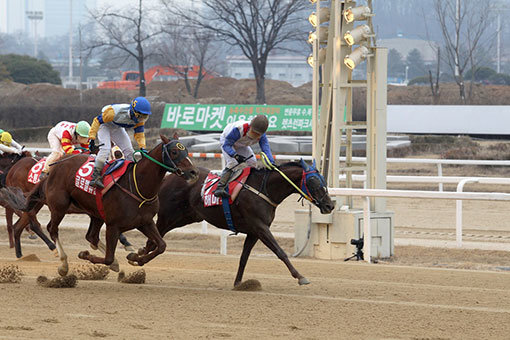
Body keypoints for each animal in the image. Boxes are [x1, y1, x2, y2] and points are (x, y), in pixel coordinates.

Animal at [3, 134, 199, 274]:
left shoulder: (145, 221)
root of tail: (53, 169)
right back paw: (63, 263)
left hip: (94, 213)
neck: (138, 185)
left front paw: (135, 256)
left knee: (90, 236)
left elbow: (162, 245)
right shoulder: (113, 225)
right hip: (59, 206)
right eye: (174, 152)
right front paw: (88, 255)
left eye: (186, 151)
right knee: (52, 228)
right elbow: (108, 258)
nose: (193, 172)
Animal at [141, 159, 336, 286]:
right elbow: (280, 252)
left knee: (153, 241)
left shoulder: (254, 231)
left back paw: (138, 257)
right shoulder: (260, 227)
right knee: (154, 240)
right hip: (167, 216)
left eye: (323, 180)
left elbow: (244, 257)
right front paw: (300, 276)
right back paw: (138, 259)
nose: (329, 205)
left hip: (184, 218)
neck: (264, 189)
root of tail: (167, 177)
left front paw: (238, 283)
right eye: (312, 180)